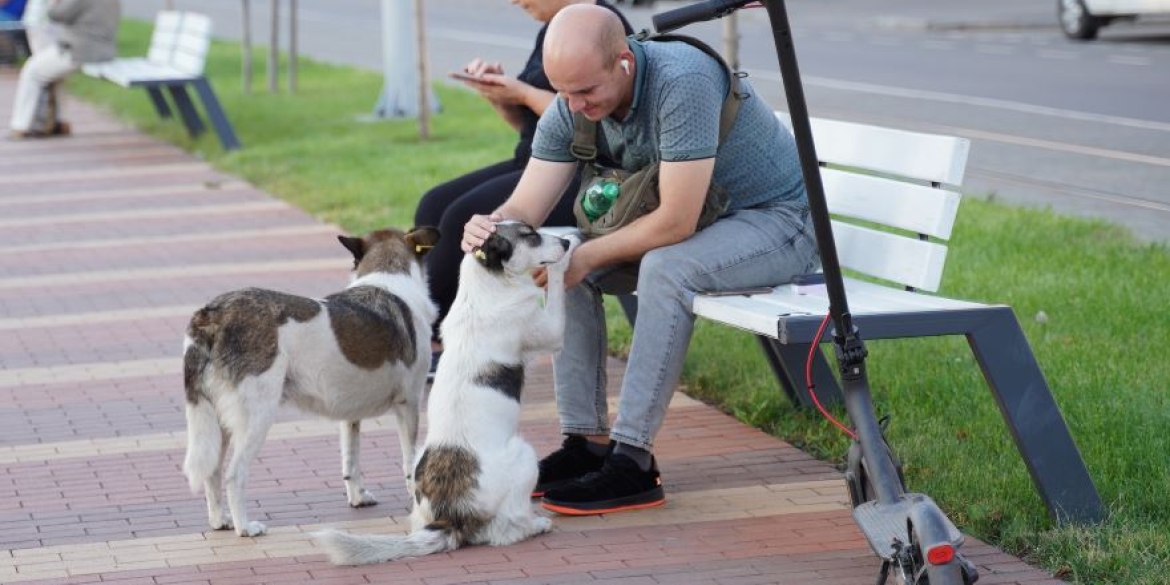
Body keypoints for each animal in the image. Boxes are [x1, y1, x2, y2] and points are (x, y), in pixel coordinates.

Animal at [182, 225, 439, 535]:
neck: (388, 279)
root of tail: (212, 314)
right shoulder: (408, 405)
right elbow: (410, 463)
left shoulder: (350, 416)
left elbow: (351, 462)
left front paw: (357, 498)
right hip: (256, 417)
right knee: (235, 474)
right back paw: (245, 527)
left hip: (218, 422)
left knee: (213, 471)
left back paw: (220, 521)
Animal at [315, 221, 575, 563]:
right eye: (529, 235)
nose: (564, 243)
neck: (486, 288)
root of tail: (451, 517)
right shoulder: (551, 332)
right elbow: (555, 291)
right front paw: (565, 258)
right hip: (525, 455)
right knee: (504, 530)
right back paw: (536, 525)